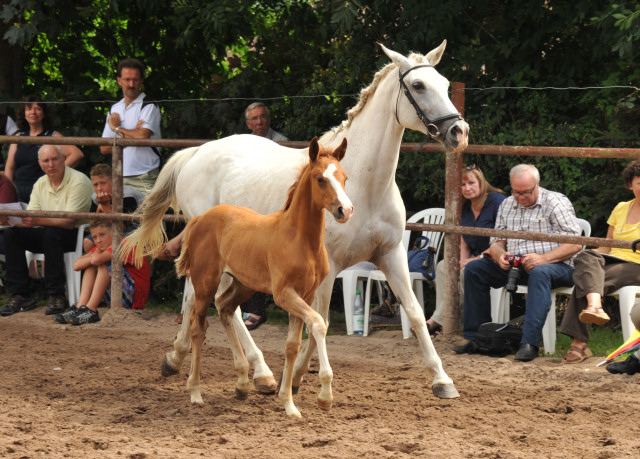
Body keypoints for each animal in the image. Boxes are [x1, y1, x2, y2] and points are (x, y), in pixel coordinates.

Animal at [172, 136, 352, 416]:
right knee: (198, 328)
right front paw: (325, 394)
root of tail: (201, 218)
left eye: (344, 177)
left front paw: (288, 402)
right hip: (206, 281)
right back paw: (195, 392)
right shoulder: (284, 294)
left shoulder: (305, 295)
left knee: (225, 308)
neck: (300, 239)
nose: (346, 210)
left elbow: (292, 345)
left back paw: (243, 382)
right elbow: (318, 324)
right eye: (320, 179)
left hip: (243, 284)